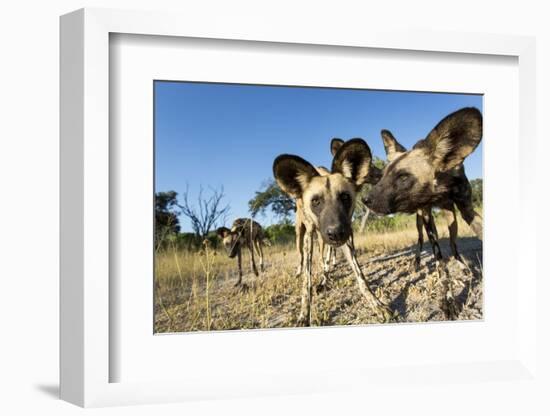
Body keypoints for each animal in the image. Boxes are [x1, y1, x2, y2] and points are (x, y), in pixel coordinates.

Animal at [274, 138, 394, 326]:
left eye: (345, 197)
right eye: (315, 201)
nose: (336, 232)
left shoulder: (345, 238)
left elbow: (360, 277)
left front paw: (377, 304)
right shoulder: (311, 236)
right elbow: (306, 282)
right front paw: (303, 315)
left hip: (325, 239)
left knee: (326, 257)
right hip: (302, 236)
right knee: (303, 257)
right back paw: (303, 272)